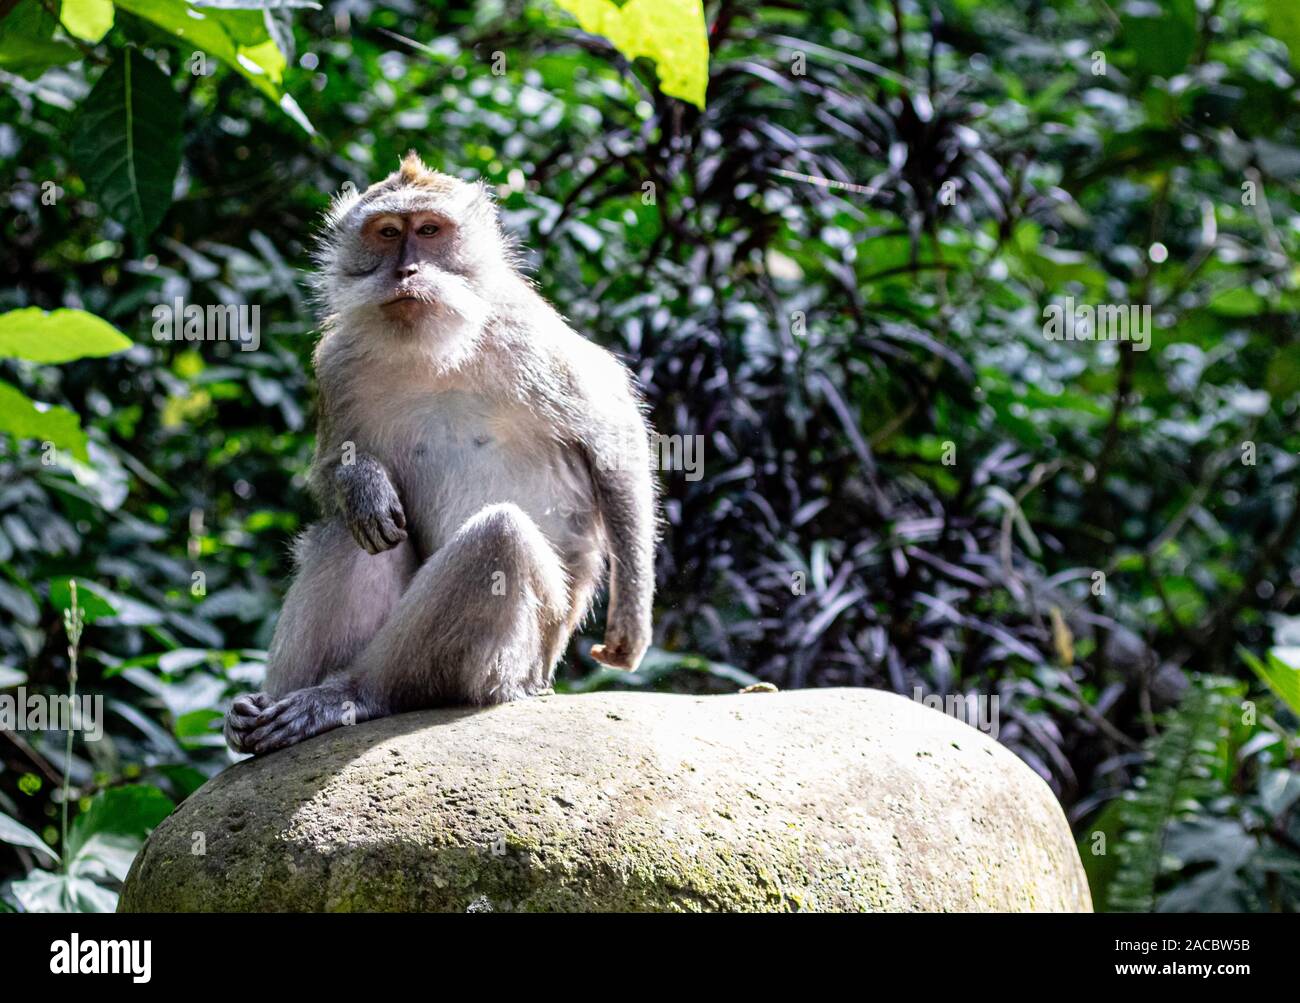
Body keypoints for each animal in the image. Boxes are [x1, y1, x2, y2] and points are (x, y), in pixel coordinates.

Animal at [220, 154, 660, 753]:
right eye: (387, 233)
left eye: (429, 230)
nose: (406, 272)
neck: (431, 348)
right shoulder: (335, 363)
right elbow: (332, 468)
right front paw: (362, 482)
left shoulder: (528, 332)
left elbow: (615, 440)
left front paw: (631, 620)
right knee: (351, 531)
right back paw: (265, 711)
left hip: (513, 664)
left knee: (500, 539)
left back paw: (352, 695)